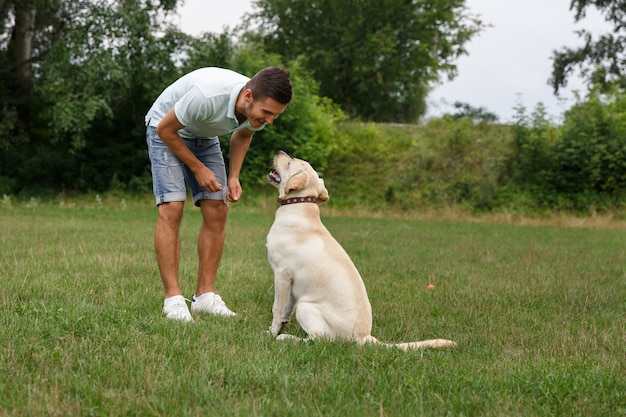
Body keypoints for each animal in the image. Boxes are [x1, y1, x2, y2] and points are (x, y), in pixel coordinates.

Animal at [266, 151, 456, 350]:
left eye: (290, 162)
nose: (279, 151)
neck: (299, 206)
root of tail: (365, 337)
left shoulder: (282, 274)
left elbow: (277, 308)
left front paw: (272, 333)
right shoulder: (292, 285)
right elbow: (286, 309)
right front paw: (278, 327)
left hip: (305, 306)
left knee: (319, 340)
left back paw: (286, 338)